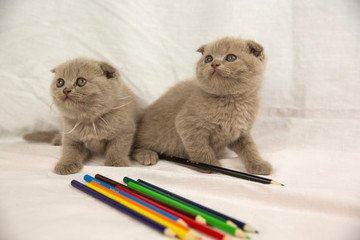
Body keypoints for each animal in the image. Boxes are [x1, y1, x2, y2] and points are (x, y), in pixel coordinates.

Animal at [134, 36, 272, 174]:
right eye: (208, 59)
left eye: (231, 58)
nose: (214, 63)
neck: (230, 100)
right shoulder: (187, 124)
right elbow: (200, 147)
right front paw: (209, 164)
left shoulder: (240, 132)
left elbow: (250, 148)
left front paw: (258, 164)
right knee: (134, 147)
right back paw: (147, 154)